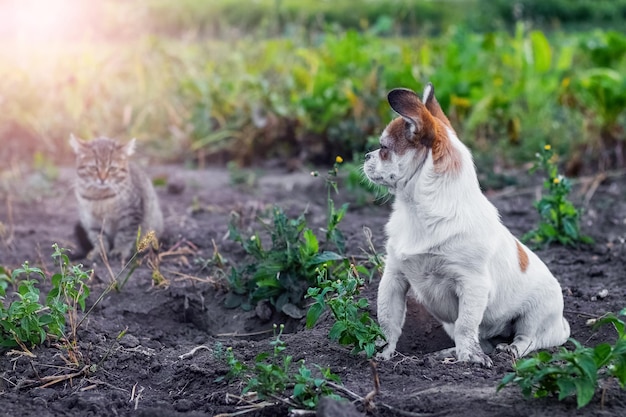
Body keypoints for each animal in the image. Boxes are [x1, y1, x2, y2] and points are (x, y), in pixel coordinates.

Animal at [360, 83, 572, 364]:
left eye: (384, 148)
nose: (366, 155)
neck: (417, 212)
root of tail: (561, 325)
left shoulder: (472, 285)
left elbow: (466, 324)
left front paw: (470, 359)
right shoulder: (394, 277)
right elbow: (388, 321)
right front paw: (382, 353)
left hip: (535, 314)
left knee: (527, 339)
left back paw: (509, 350)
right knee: (485, 341)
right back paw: (449, 353)